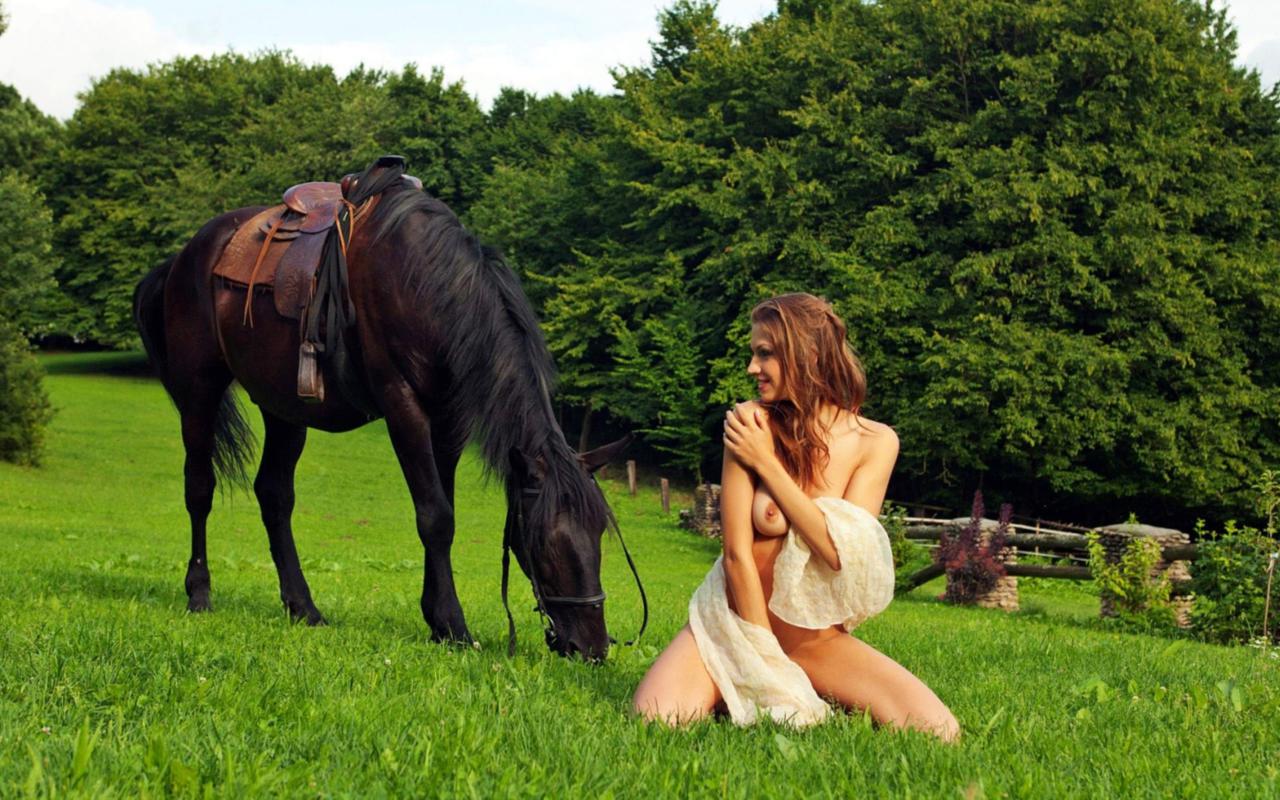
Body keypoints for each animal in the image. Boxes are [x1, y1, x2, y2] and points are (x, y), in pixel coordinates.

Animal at [132, 157, 631, 660]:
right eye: (547, 543)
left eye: (599, 535)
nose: (593, 646)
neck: (425, 286)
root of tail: (183, 258)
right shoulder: (402, 405)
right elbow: (435, 517)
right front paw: (454, 625)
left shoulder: (448, 421)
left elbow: (443, 510)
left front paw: (437, 620)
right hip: (200, 390)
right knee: (199, 488)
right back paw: (199, 593)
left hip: (284, 409)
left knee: (274, 495)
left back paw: (303, 607)